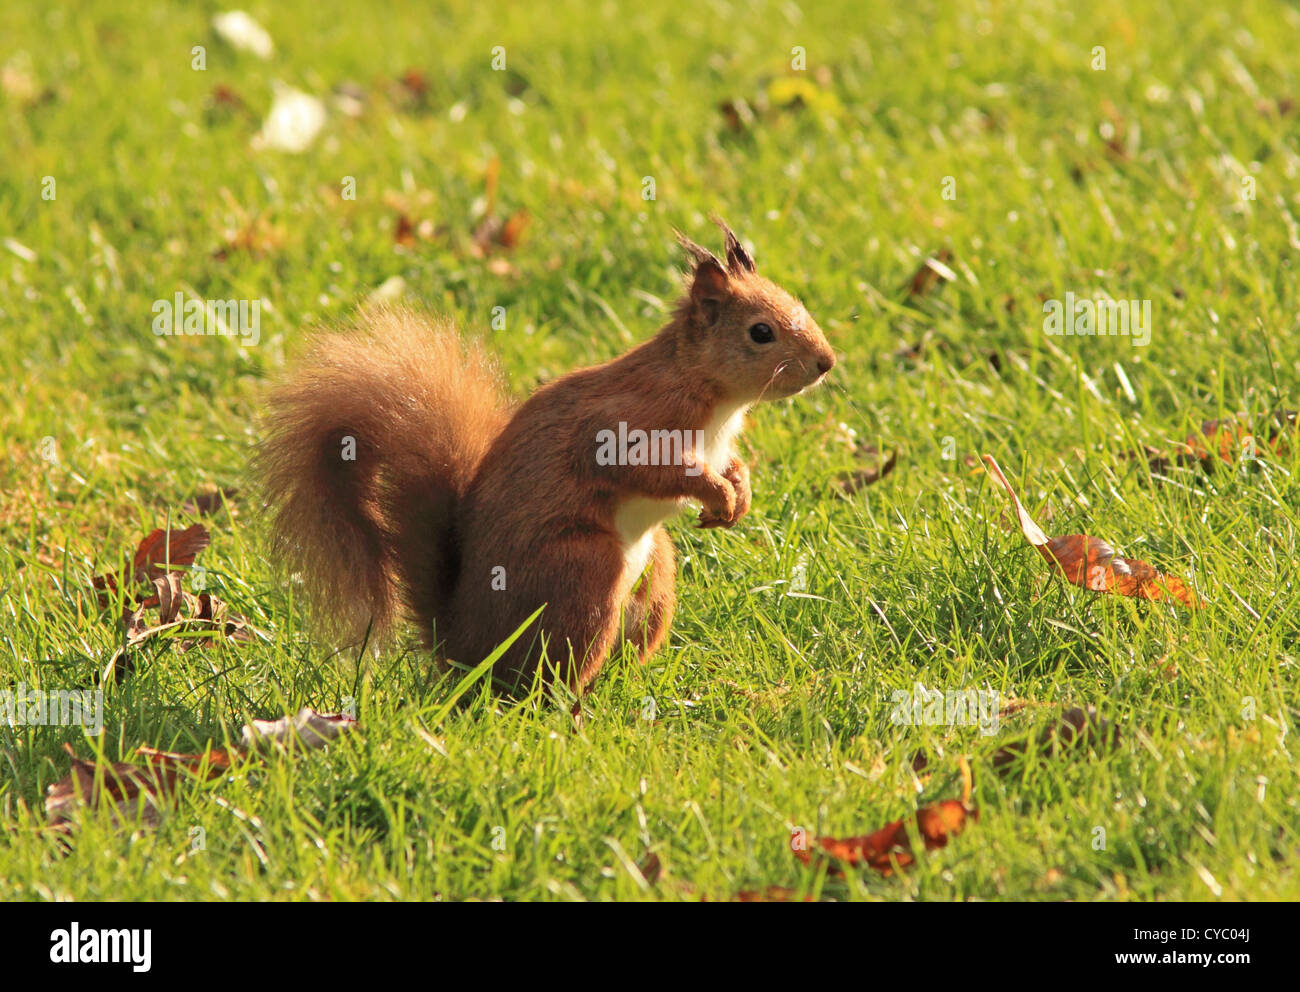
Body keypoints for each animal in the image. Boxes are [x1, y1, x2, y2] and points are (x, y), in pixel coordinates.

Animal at [258, 221, 837, 696]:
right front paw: (714, 492)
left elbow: (732, 466)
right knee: (543, 680)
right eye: (760, 332)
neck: (712, 395)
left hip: (656, 575)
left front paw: (738, 494)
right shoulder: (624, 428)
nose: (826, 362)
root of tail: (462, 649)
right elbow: (644, 469)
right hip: (582, 572)